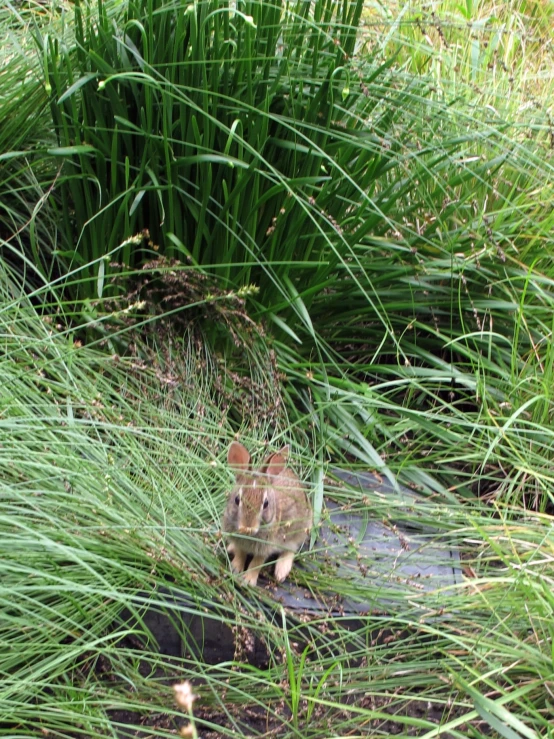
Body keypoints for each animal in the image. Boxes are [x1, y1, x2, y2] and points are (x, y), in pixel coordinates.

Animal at [222, 442, 312, 588]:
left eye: (266, 504)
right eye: (237, 499)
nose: (247, 528)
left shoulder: (266, 547)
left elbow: (257, 563)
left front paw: (248, 580)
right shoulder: (240, 542)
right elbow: (241, 554)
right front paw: (235, 569)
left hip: (299, 531)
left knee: (291, 549)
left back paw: (281, 572)